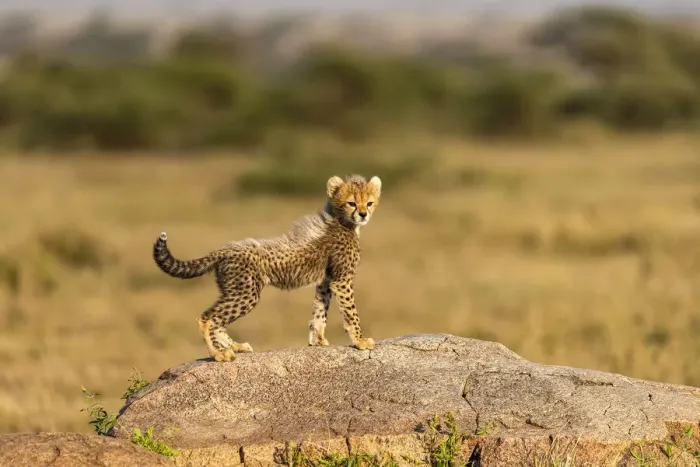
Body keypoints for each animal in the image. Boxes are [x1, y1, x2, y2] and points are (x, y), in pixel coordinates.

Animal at [152, 174, 382, 362]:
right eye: (352, 203)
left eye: (369, 203)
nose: (363, 214)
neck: (341, 221)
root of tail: (225, 249)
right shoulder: (342, 280)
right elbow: (351, 312)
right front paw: (360, 341)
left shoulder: (326, 280)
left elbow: (320, 310)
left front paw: (317, 340)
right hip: (246, 293)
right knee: (207, 319)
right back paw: (219, 353)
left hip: (234, 291)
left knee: (219, 320)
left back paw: (235, 346)